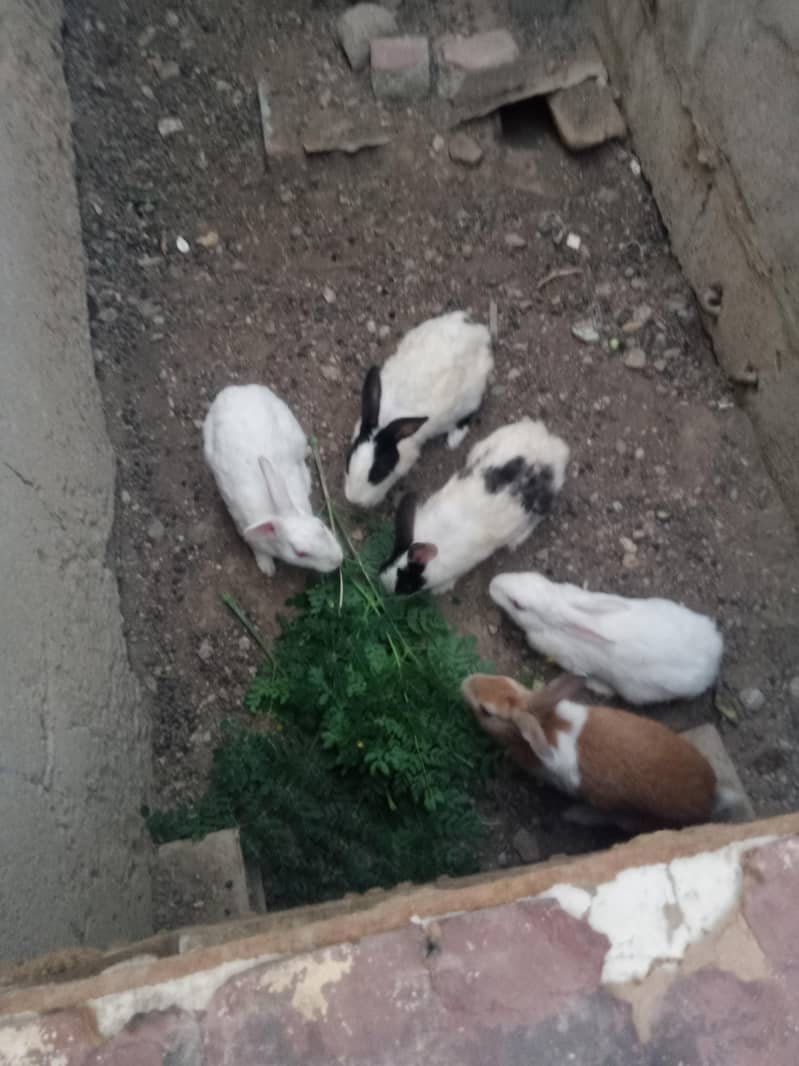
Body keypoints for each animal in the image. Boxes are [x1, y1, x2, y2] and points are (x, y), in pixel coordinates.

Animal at [202, 384, 343, 576]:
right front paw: (267, 568)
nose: (339, 560)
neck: (279, 513)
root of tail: (232, 391)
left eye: (321, 525)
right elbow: (258, 548)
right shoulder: (246, 529)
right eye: (300, 553)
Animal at [344, 310, 493, 508]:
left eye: (379, 471)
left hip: (471, 397)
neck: (387, 423)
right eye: (348, 458)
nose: (353, 499)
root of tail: (479, 333)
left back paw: (453, 439)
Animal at [462, 673, 746, 831]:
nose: (466, 682)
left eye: (486, 711)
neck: (546, 724)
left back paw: (576, 815)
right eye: (502, 680)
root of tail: (708, 799)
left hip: (626, 813)